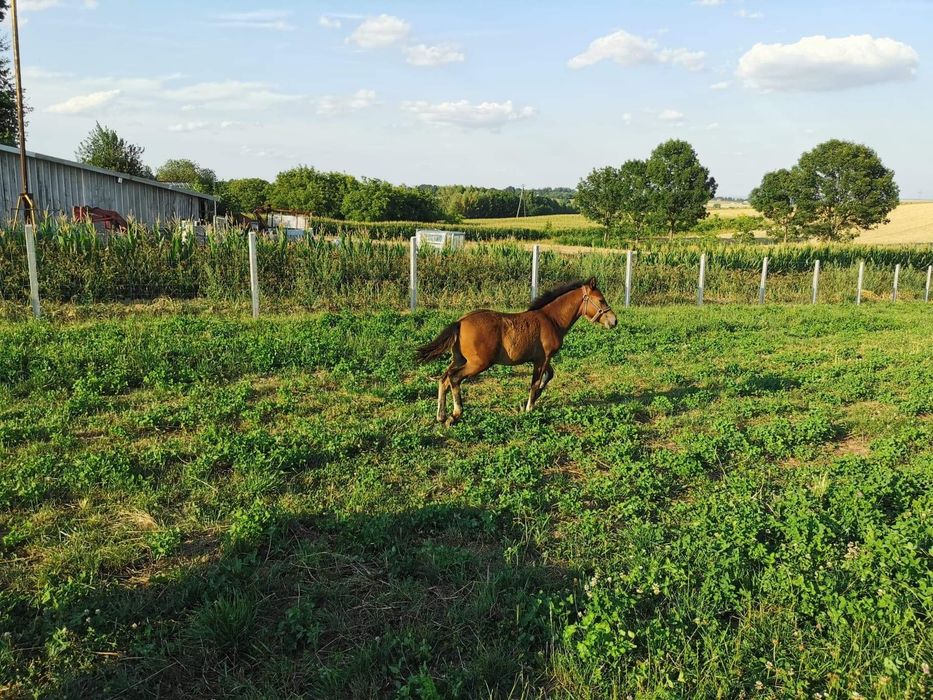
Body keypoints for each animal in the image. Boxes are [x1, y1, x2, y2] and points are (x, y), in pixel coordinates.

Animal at [416, 278, 620, 422]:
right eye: (601, 300)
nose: (614, 321)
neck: (551, 319)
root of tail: (460, 322)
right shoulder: (542, 359)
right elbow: (535, 383)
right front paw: (529, 407)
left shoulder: (542, 359)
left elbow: (548, 376)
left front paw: (532, 400)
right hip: (478, 363)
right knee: (454, 378)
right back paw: (455, 414)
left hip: (459, 359)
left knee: (444, 378)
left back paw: (441, 416)